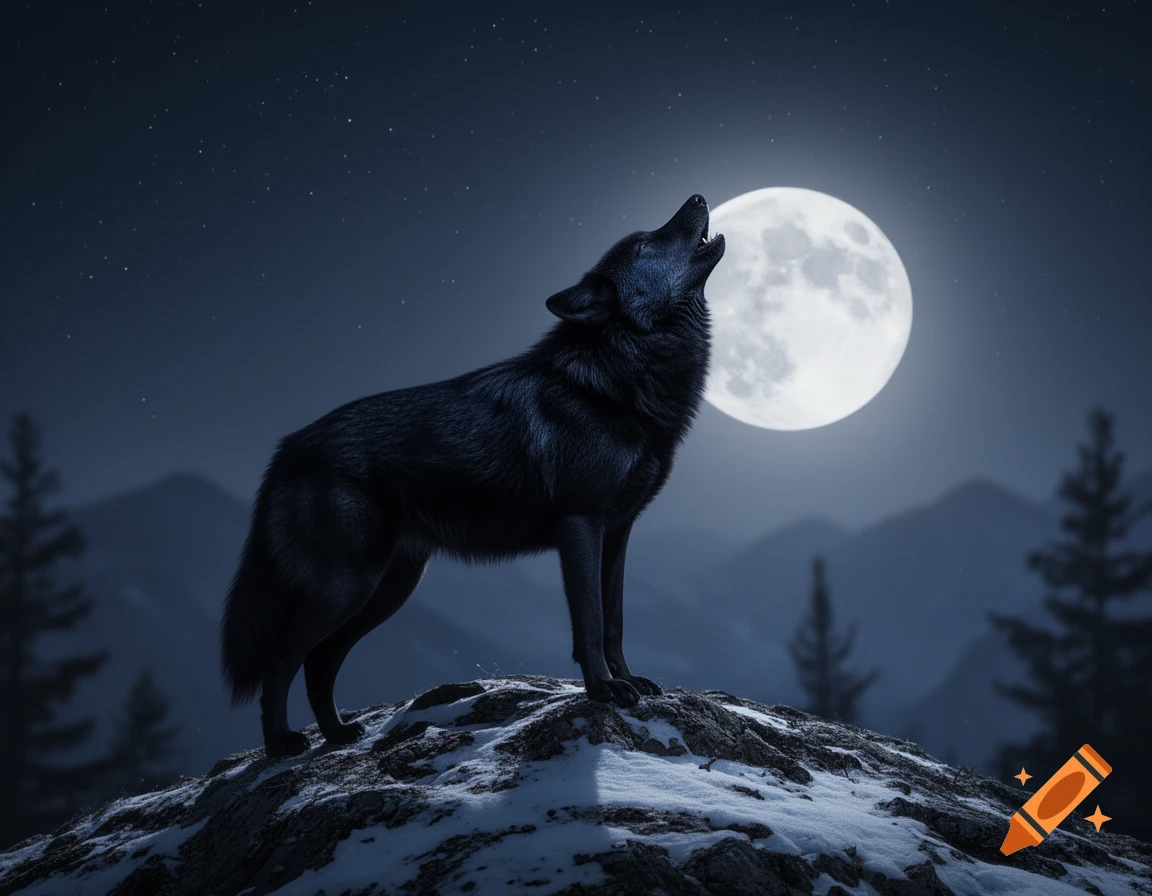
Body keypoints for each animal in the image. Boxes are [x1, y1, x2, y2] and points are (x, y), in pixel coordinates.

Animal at [220, 194, 726, 758]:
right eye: (643, 244)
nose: (698, 197)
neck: (614, 382)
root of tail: (286, 449)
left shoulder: (617, 532)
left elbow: (614, 621)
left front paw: (628, 680)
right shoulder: (580, 527)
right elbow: (591, 623)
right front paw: (603, 690)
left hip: (386, 591)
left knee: (320, 660)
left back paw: (337, 735)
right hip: (346, 589)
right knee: (282, 659)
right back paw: (282, 744)